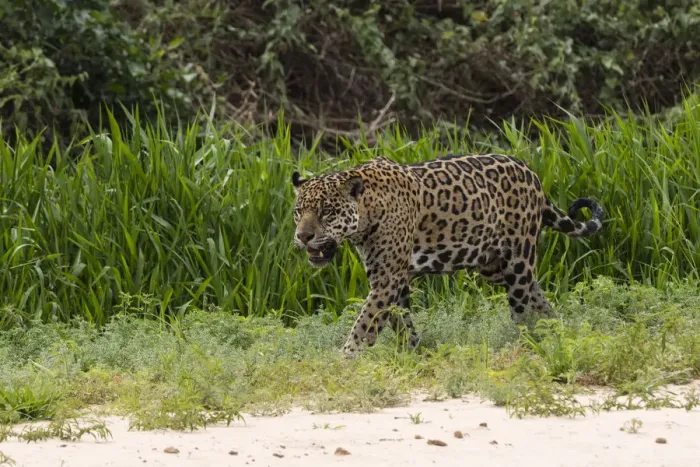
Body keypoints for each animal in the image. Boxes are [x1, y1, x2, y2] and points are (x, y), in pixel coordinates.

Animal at [291, 154, 604, 358]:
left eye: (327, 212)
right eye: (298, 212)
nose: (303, 236)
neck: (367, 212)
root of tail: (531, 172)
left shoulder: (387, 279)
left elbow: (364, 323)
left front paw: (344, 360)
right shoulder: (395, 280)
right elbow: (400, 322)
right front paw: (413, 354)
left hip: (517, 261)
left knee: (521, 310)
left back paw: (526, 345)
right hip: (494, 266)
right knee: (538, 297)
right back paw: (557, 331)